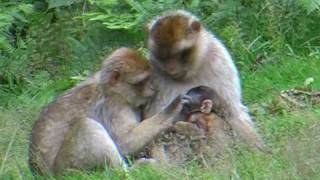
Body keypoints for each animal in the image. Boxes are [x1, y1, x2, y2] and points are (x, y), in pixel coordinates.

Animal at [29, 47, 188, 176]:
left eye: (150, 77)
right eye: (141, 81)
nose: (153, 87)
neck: (113, 90)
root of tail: (39, 172)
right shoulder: (115, 106)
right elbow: (125, 142)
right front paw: (172, 108)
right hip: (68, 169)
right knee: (86, 125)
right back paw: (129, 171)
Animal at [144, 9, 272, 153]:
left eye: (180, 53)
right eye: (163, 57)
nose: (171, 69)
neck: (191, 71)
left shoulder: (220, 60)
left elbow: (231, 111)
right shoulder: (153, 72)